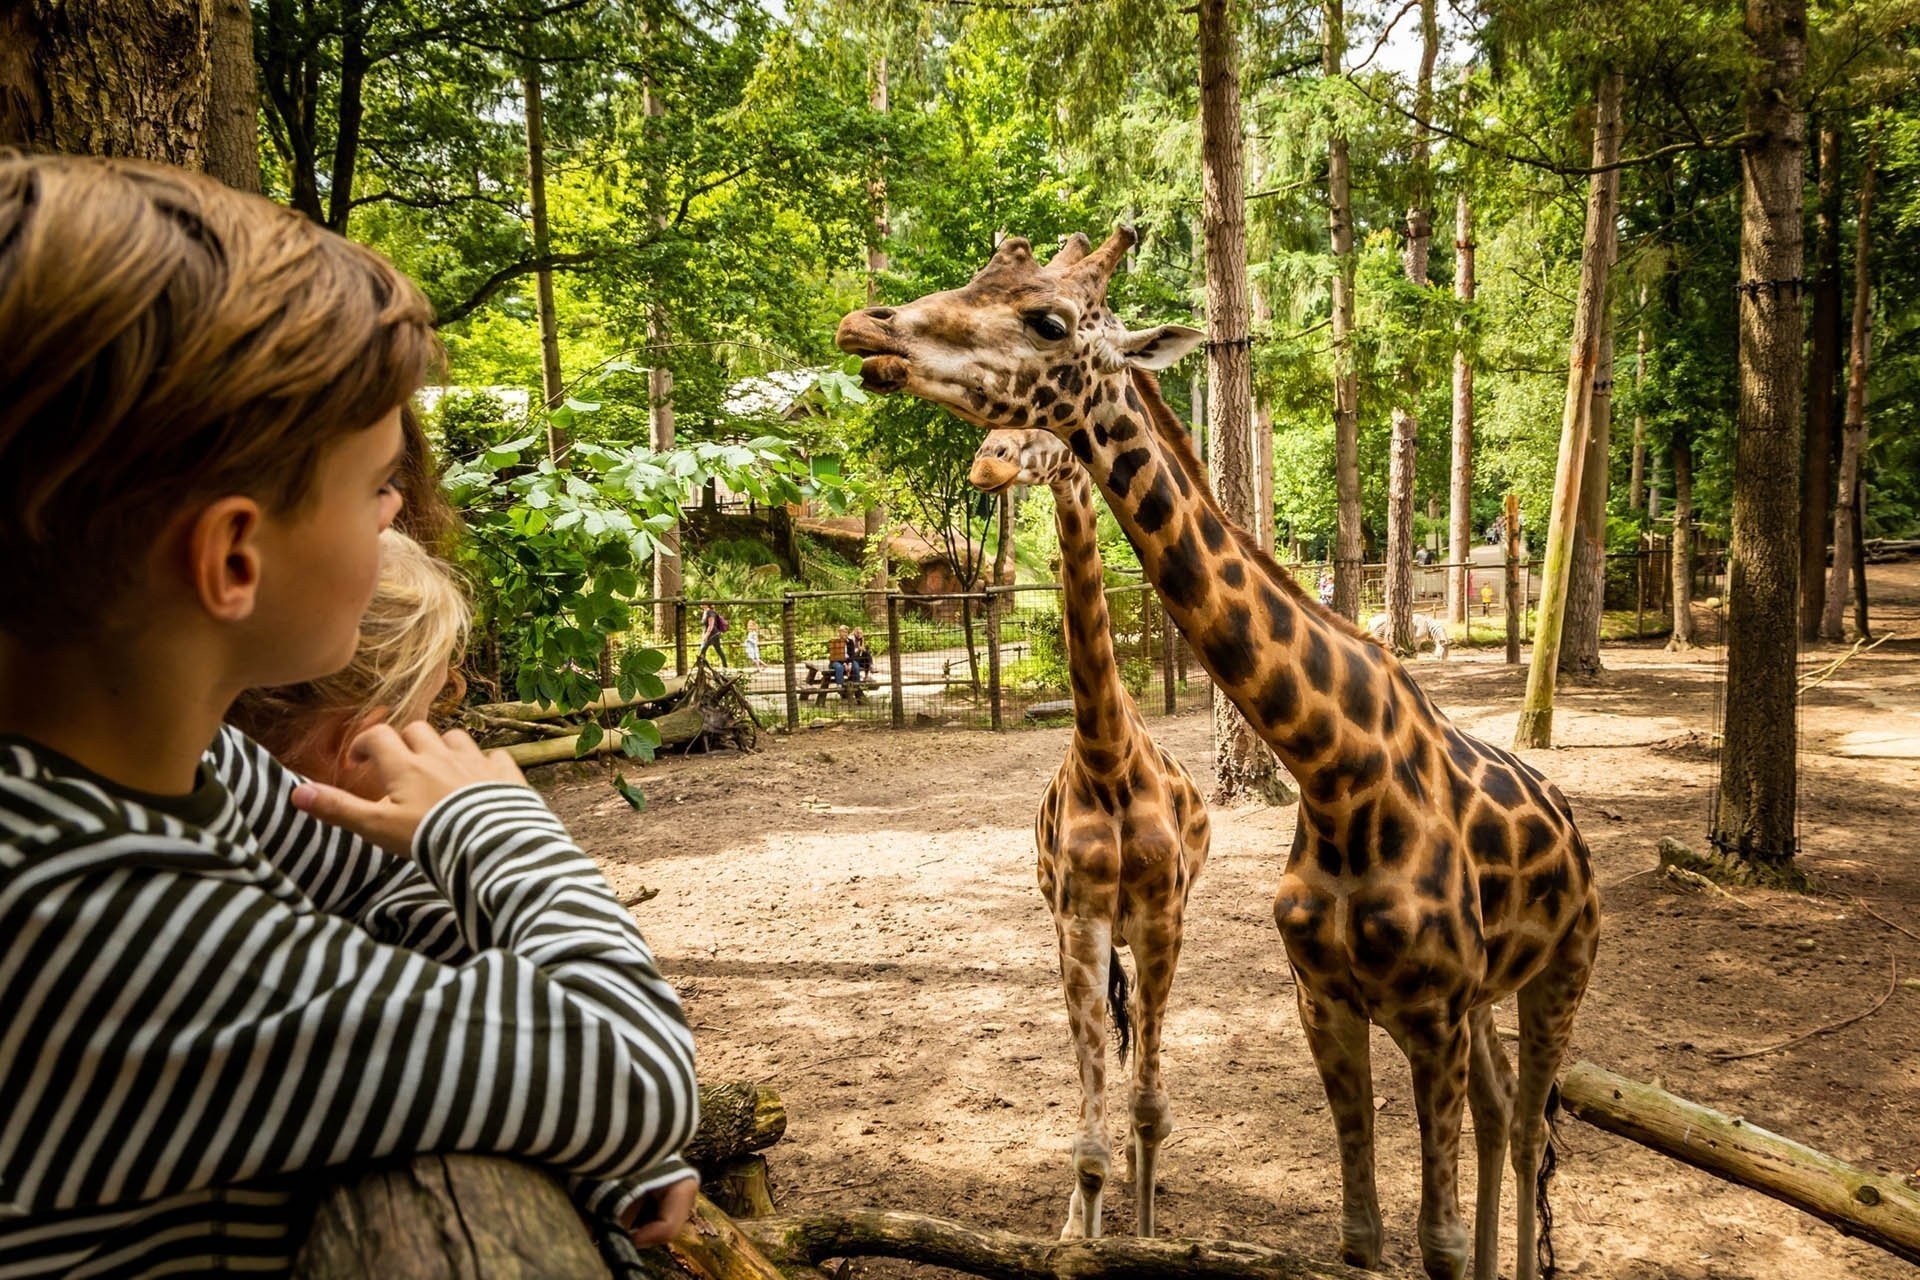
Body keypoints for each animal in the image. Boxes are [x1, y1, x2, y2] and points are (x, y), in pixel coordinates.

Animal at [969, 427, 1210, 1241]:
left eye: (1042, 430)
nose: (986, 462)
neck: (1107, 757)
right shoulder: (1080, 921)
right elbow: (1090, 1143)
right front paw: (1084, 1237)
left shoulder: (1164, 917)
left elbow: (1150, 1111)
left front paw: (1145, 1236)